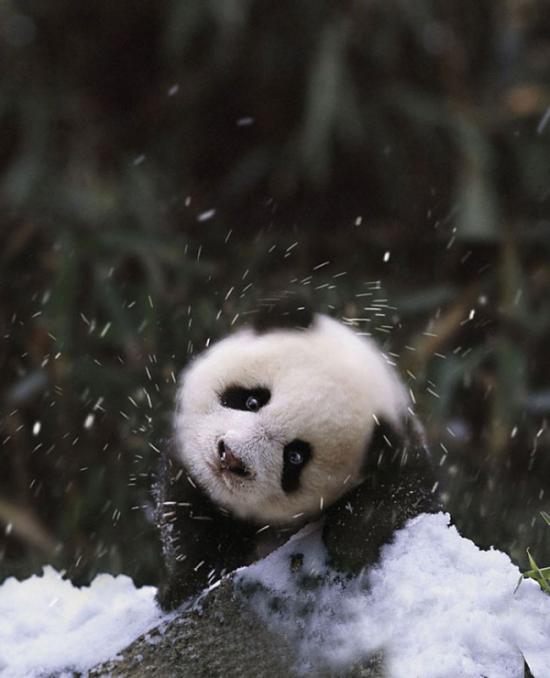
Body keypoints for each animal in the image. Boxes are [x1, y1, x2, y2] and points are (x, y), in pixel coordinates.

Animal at [155, 298, 440, 612]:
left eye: (295, 457)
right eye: (252, 400)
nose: (231, 458)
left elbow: (402, 496)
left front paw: (349, 538)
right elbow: (189, 521)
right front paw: (184, 587)